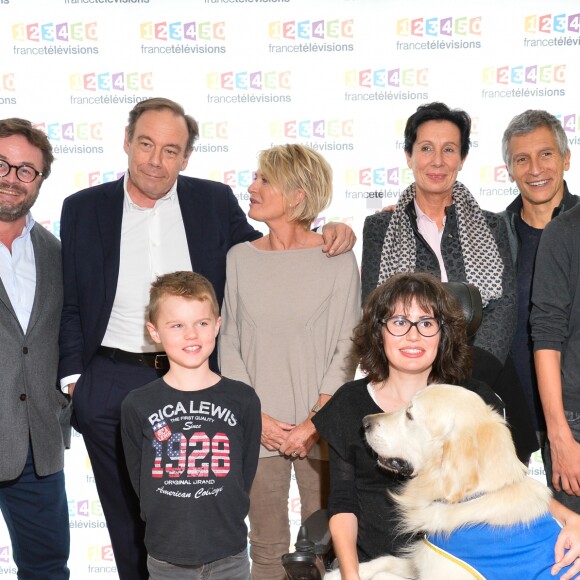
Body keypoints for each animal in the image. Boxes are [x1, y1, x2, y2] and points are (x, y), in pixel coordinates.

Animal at [326, 386, 572, 580]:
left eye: (410, 414)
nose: (365, 422)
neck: (472, 497)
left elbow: (385, 574)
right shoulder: (422, 558)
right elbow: (385, 560)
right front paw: (337, 573)